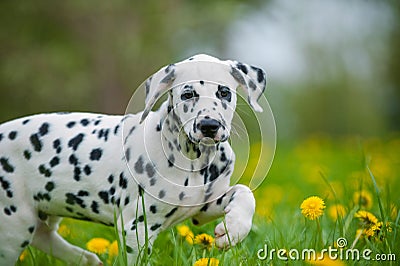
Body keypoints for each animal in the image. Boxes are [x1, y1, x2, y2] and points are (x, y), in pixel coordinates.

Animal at [1, 53, 268, 264]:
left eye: (224, 92)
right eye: (187, 94)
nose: (209, 126)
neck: (193, 159)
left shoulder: (204, 206)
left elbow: (245, 192)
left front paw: (234, 229)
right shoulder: (136, 228)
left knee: (44, 237)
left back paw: (88, 260)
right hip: (15, 225)